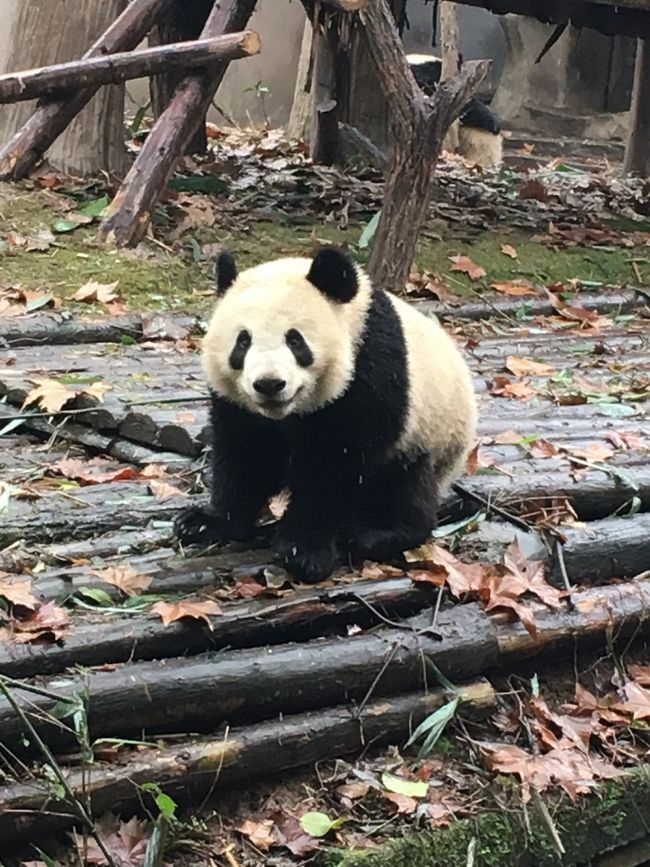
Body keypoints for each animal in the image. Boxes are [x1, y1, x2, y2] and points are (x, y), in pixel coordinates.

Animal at [173, 246, 476, 584]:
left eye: (295, 340)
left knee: (405, 489)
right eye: (243, 341)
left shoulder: (371, 370)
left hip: (423, 437)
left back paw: (374, 533)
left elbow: (333, 467)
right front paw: (206, 522)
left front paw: (304, 550)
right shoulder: (241, 408)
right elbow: (246, 456)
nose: (269, 384)